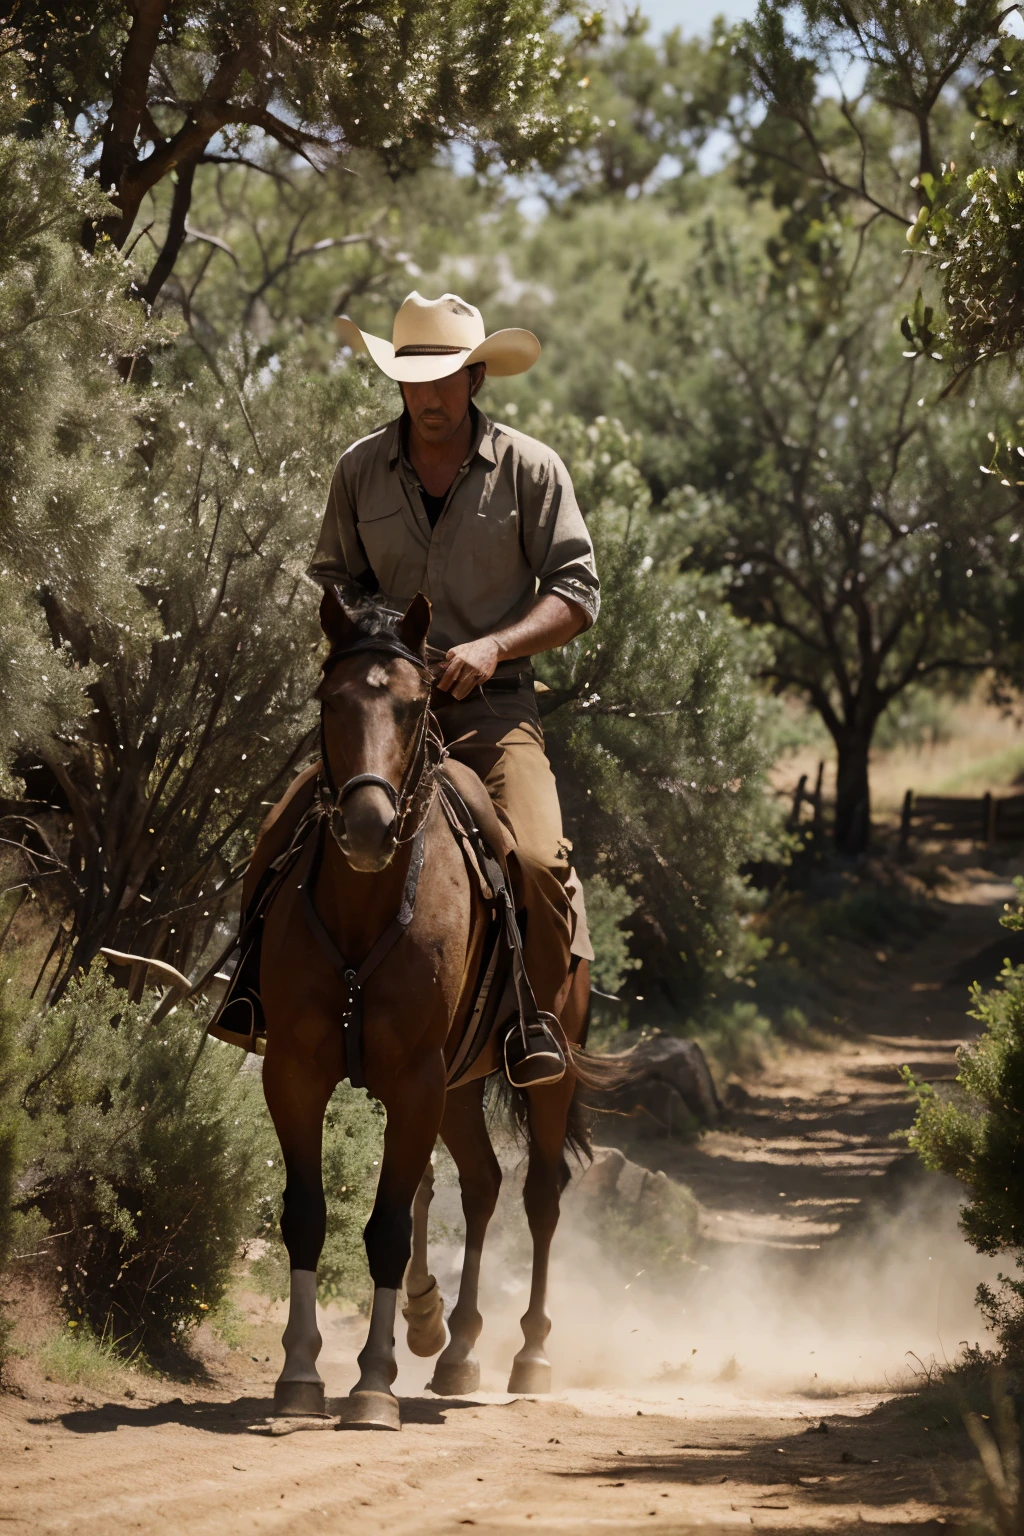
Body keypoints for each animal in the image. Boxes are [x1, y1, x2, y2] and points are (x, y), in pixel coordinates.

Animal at [257, 586, 607, 1425]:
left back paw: (529, 1355)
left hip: (543, 1077)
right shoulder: (295, 1074)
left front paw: (374, 1384)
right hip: (460, 1087)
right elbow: (308, 1214)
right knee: (481, 1185)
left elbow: (387, 1225)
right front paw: (302, 1373)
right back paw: (455, 1348)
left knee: (540, 1197)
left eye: (415, 706)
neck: (366, 910)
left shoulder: (414, 1081)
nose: (367, 828)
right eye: (330, 699)